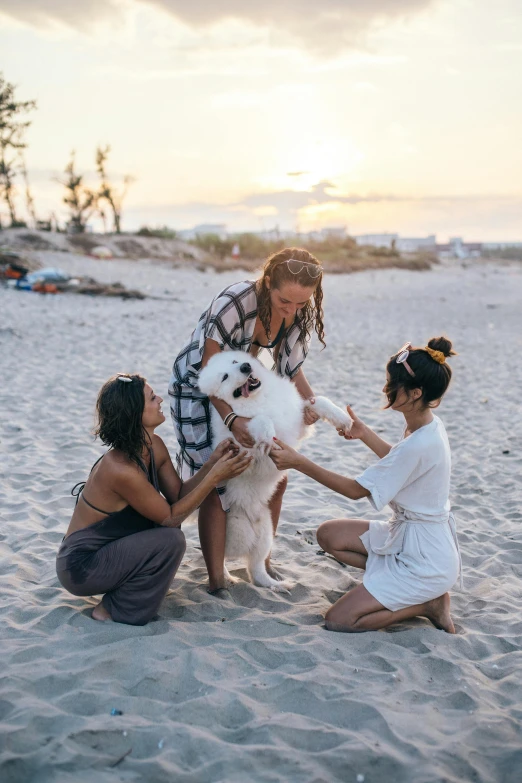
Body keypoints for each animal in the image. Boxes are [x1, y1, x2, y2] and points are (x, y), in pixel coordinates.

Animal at [197, 352, 352, 592]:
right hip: (231, 532)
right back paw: (226, 581)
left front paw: (343, 418)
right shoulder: (243, 448)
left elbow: (320, 401)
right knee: (219, 558)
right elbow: (260, 422)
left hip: (265, 533)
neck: (258, 399)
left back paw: (277, 585)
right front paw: (268, 433)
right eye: (224, 377)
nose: (245, 366)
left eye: (234, 362)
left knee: (256, 570)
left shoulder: (296, 425)